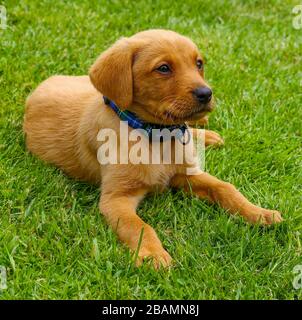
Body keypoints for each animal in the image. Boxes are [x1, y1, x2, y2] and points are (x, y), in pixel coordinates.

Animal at [24, 29, 284, 268]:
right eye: (164, 68)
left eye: (199, 64)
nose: (206, 93)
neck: (157, 136)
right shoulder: (116, 198)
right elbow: (139, 226)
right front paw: (153, 254)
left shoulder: (184, 173)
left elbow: (225, 188)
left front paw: (259, 213)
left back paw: (207, 133)